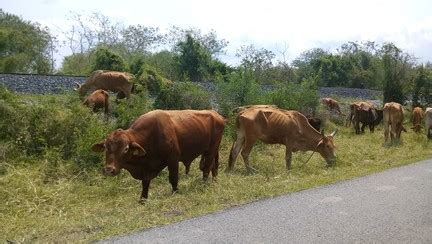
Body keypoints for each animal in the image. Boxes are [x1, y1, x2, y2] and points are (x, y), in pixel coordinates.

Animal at [92, 109, 226, 201]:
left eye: (125, 149)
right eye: (106, 147)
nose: (109, 170)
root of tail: (216, 114)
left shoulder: (173, 159)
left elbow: (173, 179)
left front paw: (175, 193)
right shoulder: (147, 168)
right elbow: (145, 183)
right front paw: (143, 199)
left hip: (210, 151)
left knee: (207, 169)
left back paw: (204, 185)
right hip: (211, 151)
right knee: (213, 167)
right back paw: (214, 182)